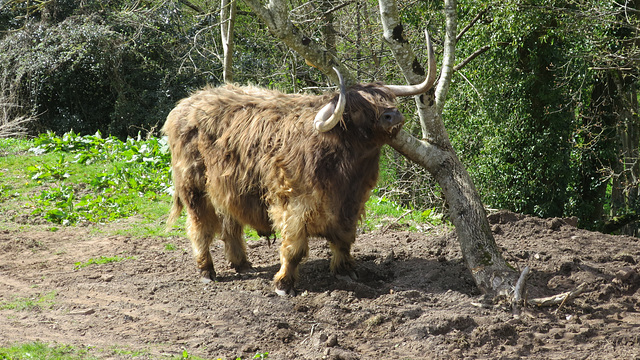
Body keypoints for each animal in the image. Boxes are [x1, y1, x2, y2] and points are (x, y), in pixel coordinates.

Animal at [162, 32, 438, 296]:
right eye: (359, 109)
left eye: (386, 99)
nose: (393, 115)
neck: (346, 169)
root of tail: (185, 103)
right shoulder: (293, 203)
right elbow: (294, 247)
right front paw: (284, 284)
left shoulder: (353, 202)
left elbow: (344, 239)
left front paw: (346, 271)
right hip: (194, 186)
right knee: (200, 226)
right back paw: (207, 271)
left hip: (227, 186)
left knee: (230, 223)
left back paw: (242, 264)